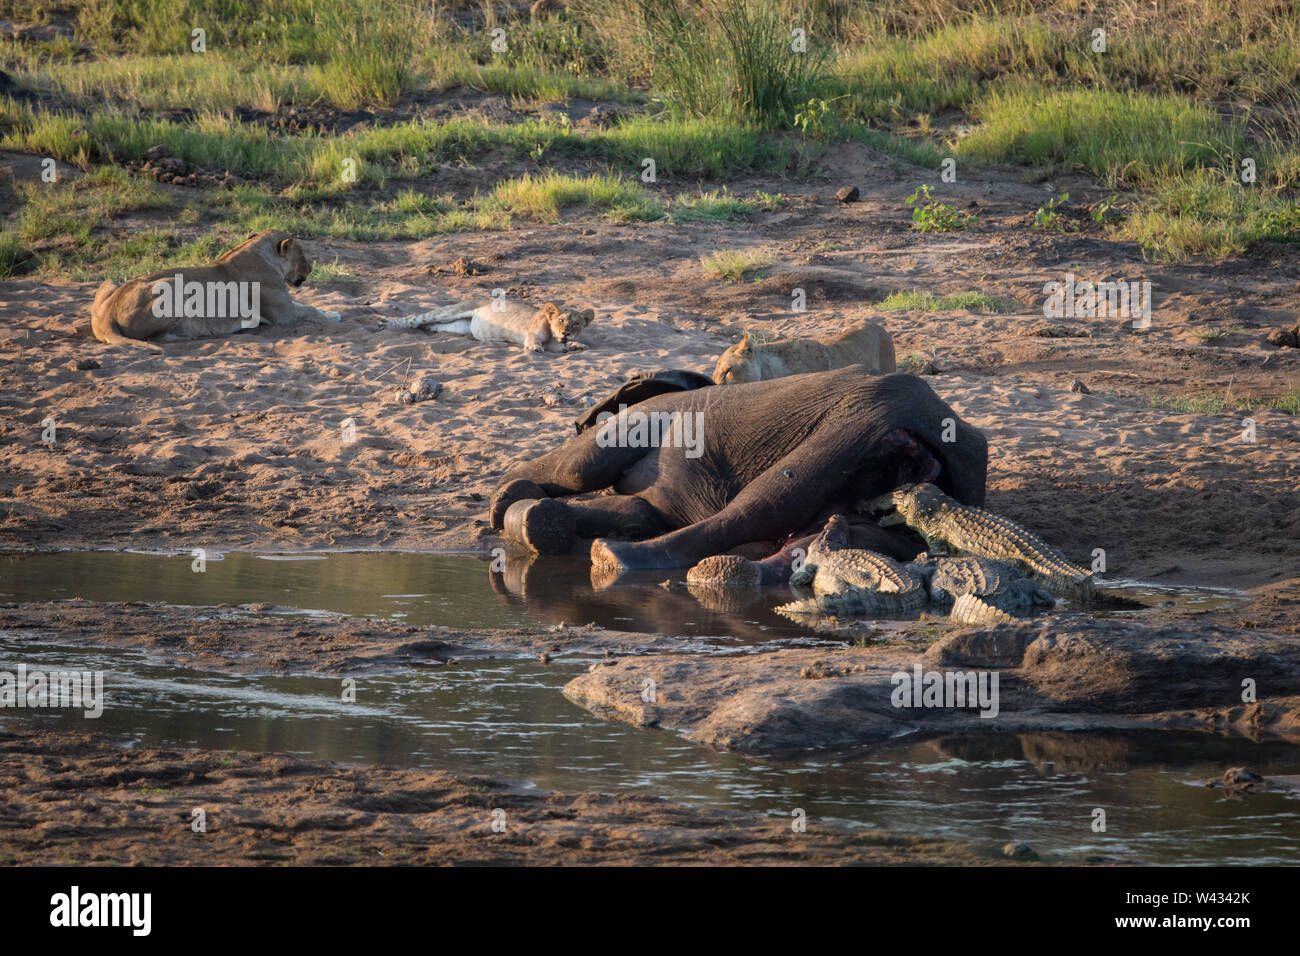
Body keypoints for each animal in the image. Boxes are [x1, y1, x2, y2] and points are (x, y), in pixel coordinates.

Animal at [90, 230, 341, 350]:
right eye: (303, 254)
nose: (311, 268)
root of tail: (107, 316)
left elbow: (308, 305)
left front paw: (331, 311)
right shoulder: (282, 314)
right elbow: (310, 310)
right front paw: (333, 315)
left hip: (110, 281)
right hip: (172, 284)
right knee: (157, 337)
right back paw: (191, 334)